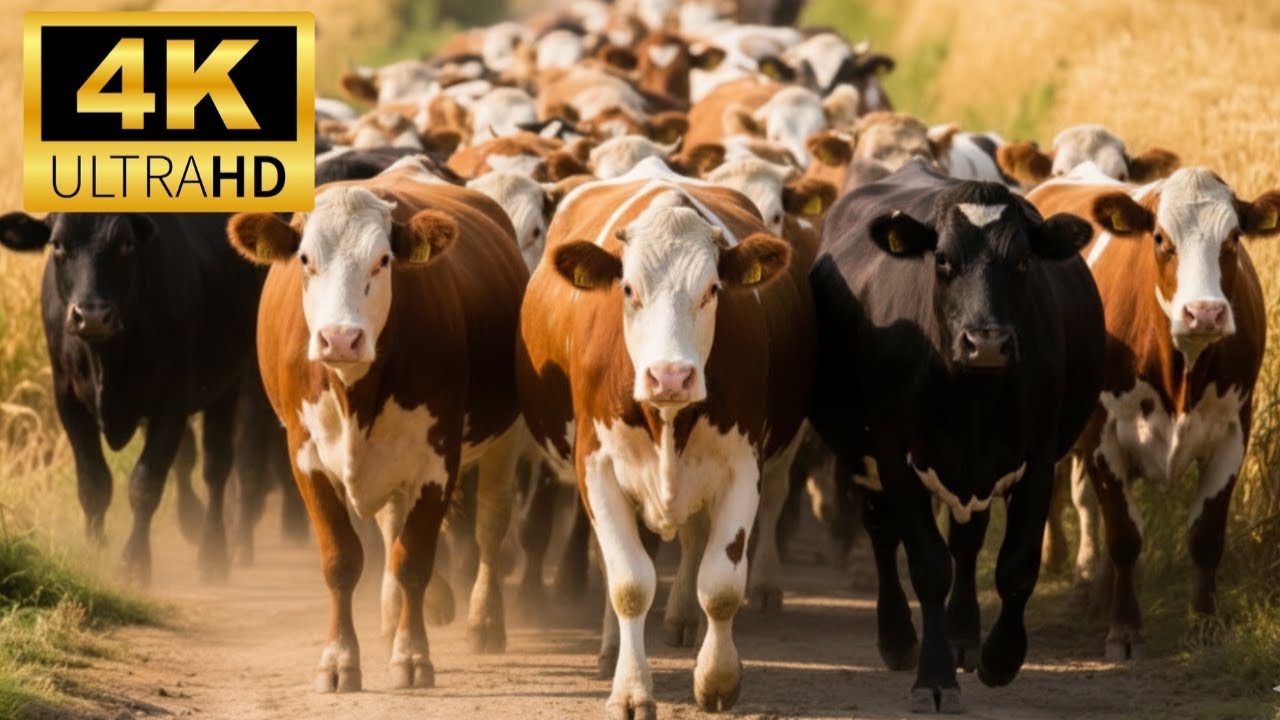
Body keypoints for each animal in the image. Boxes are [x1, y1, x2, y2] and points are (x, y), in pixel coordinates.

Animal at [0, 211, 278, 585]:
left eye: (126, 243)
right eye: (57, 244)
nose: (92, 315)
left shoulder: (173, 401)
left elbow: (145, 483)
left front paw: (134, 562)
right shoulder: (68, 399)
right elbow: (94, 483)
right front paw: (94, 555)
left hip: (230, 383)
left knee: (218, 468)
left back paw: (214, 553)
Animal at [226, 157, 528, 692]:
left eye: (383, 261)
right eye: (305, 259)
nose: (340, 338)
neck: (354, 392)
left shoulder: (437, 462)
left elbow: (415, 560)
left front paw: (412, 656)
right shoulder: (305, 457)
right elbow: (342, 559)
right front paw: (339, 659)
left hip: (503, 439)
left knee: (491, 525)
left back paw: (485, 620)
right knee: (391, 525)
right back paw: (391, 616)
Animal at [516, 157, 815, 716]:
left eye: (712, 290)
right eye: (629, 289)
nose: (670, 376)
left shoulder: (743, 465)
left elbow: (720, 584)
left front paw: (717, 678)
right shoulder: (597, 468)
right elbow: (629, 582)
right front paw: (631, 689)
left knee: (702, 540)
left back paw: (680, 618)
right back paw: (611, 648)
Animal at [808, 159, 1105, 711]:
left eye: (1024, 262)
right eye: (943, 260)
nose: (985, 342)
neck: (973, 398)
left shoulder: (1037, 456)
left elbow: (1016, 565)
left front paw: (1001, 657)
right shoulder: (895, 456)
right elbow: (928, 566)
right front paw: (934, 675)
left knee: (968, 542)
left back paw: (965, 636)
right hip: (865, 460)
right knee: (883, 536)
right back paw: (898, 638)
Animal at [1026, 165, 1280, 659]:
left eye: (1233, 237)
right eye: (1161, 238)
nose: (1205, 313)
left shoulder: (1231, 436)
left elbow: (1205, 537)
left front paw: (1205, 626)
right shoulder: (1104, 437)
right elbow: (1124, 536)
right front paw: (1124, 629)